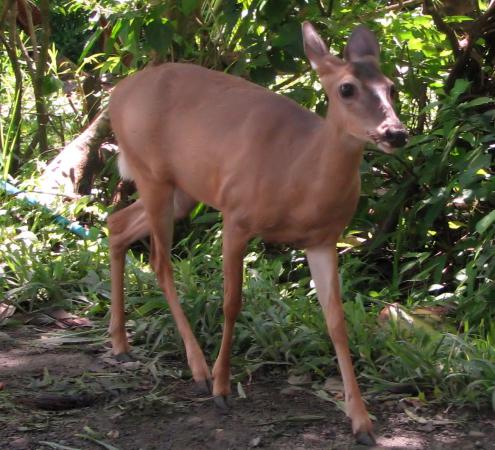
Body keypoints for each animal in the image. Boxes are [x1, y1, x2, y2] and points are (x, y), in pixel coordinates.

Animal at [106, 22, 408, 446]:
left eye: (391, 87)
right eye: (346, 88)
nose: (395, 132)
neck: (298, 174)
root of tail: (117, 93)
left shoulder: (323, 239)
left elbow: (336, 321)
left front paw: (361, 421)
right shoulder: (236, 216)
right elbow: (232, 301)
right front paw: (221, 388)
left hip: (182, 190)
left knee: (116, 225)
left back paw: (119, 343)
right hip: (152, 175)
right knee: (160, 260)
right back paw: (198, 369)